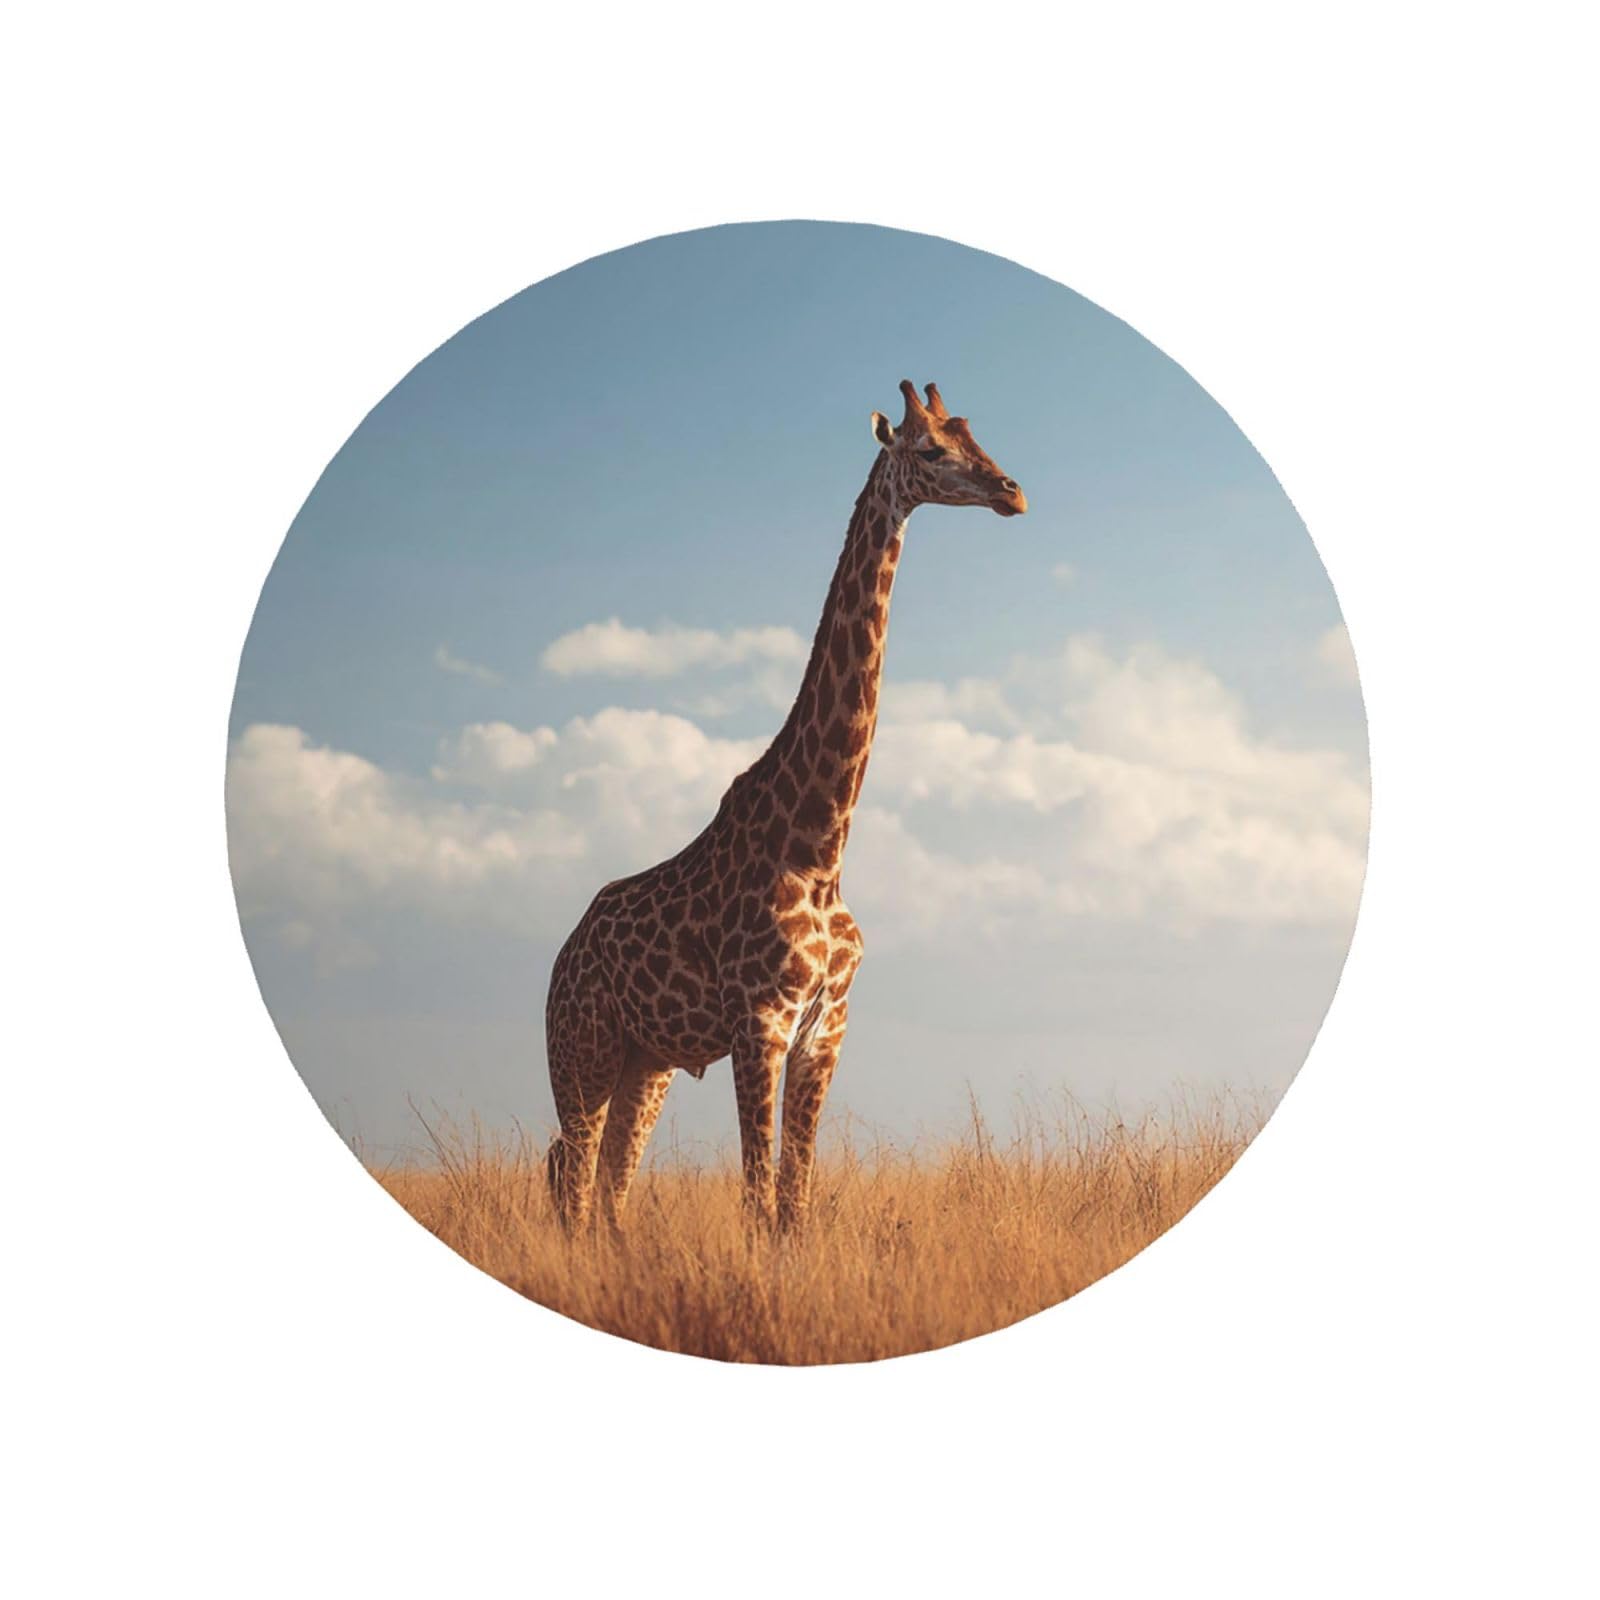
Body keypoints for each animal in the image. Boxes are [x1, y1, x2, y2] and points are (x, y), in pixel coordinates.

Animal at [544, 379, 1027, 1234]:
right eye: (930, 449)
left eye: (975, 434)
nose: (1012, 491)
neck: (821, 844)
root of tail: (560, 960)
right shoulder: (759, 1022)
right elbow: (758, 1196)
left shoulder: (825, 1029)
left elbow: (793, 1202)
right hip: (583, 1050)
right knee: (569, 1180)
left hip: (645, 1063)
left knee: (606, 1189)